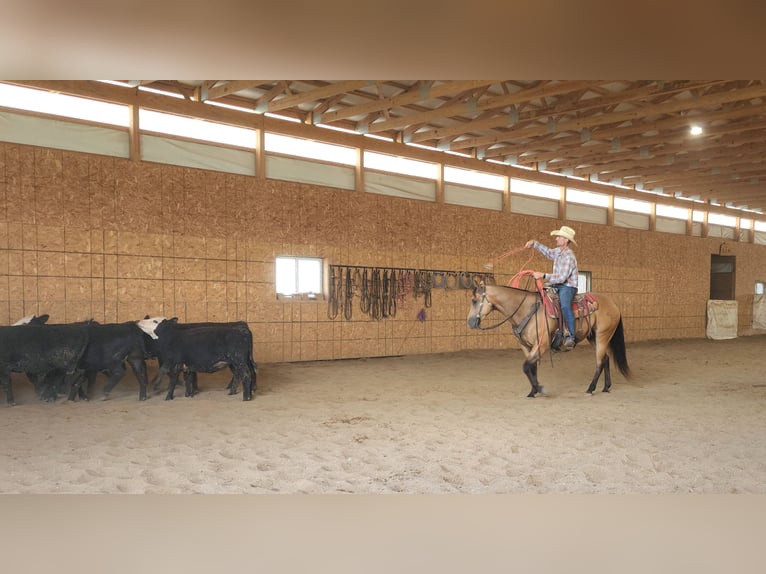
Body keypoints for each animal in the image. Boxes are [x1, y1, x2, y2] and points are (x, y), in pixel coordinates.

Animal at [464, 276, 632, 398]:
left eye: (474, 300)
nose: (470, 322)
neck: (526, 310)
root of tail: (613, 304)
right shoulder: (527, 346)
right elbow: (531, 367)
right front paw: (533, 391)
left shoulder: (543, 344)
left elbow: (526, 366)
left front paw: (540, 389)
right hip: (593, 337)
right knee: (605, 359)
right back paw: (606, 387)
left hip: (603, 335)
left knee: (599, 362)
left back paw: (590, 389)